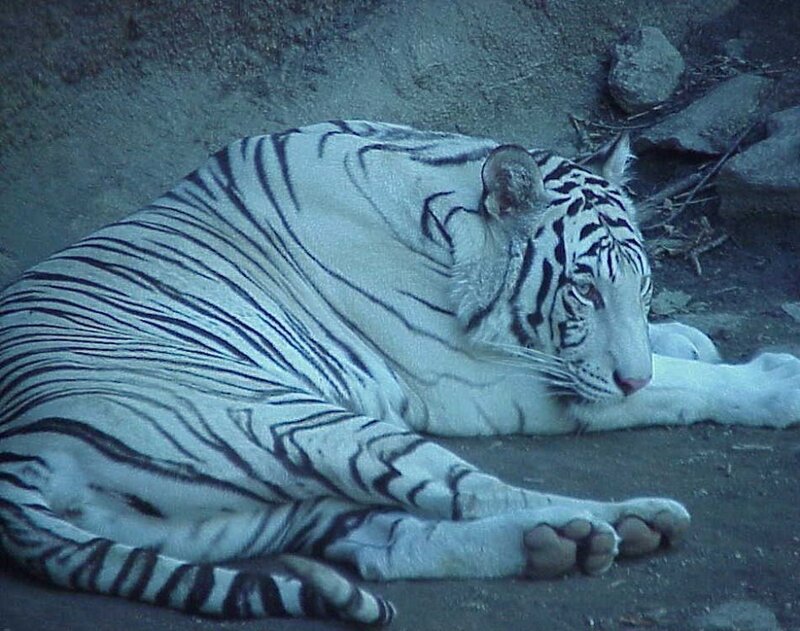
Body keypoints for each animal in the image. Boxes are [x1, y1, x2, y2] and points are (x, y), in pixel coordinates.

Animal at [1, 120, 798, 625]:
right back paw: (607, 522)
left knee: (387, 545)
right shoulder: (496, 383)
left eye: (639, 285)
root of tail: (24, 459)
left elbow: (666, 356)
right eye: (584, 292)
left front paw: (686, 336)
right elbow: (669, 386)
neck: (440, 210)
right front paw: (774, 380)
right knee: (481, 491)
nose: (627, 375)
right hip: (301, 421)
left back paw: (578, 539)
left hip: (244, 512)